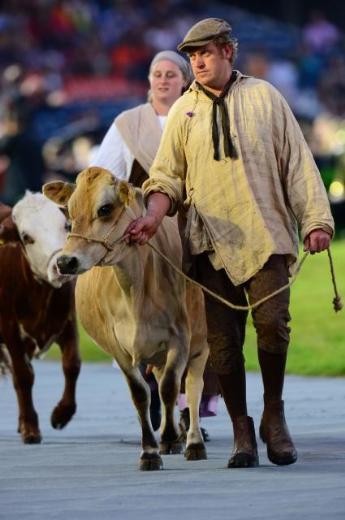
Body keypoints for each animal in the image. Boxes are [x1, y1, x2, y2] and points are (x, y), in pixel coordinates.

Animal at [0, 191, 80, 442]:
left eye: (66, 226)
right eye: (26, 237)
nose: (61, 265)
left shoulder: (68, 322)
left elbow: (72, 365)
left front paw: (61, 414)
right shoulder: (10, 329)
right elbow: (24, 376)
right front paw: (30, 428)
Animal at [44, 168, 208, 472]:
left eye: (105, 209)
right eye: (70, 212)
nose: (65, 262)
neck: (136, 290)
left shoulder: (181, 339)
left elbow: (170, 388)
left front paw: (171, 439)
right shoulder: (117, 348)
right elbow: (141, 393)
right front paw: (150, 451)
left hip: (201, 344)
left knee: (193, 387)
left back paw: (193, 441)